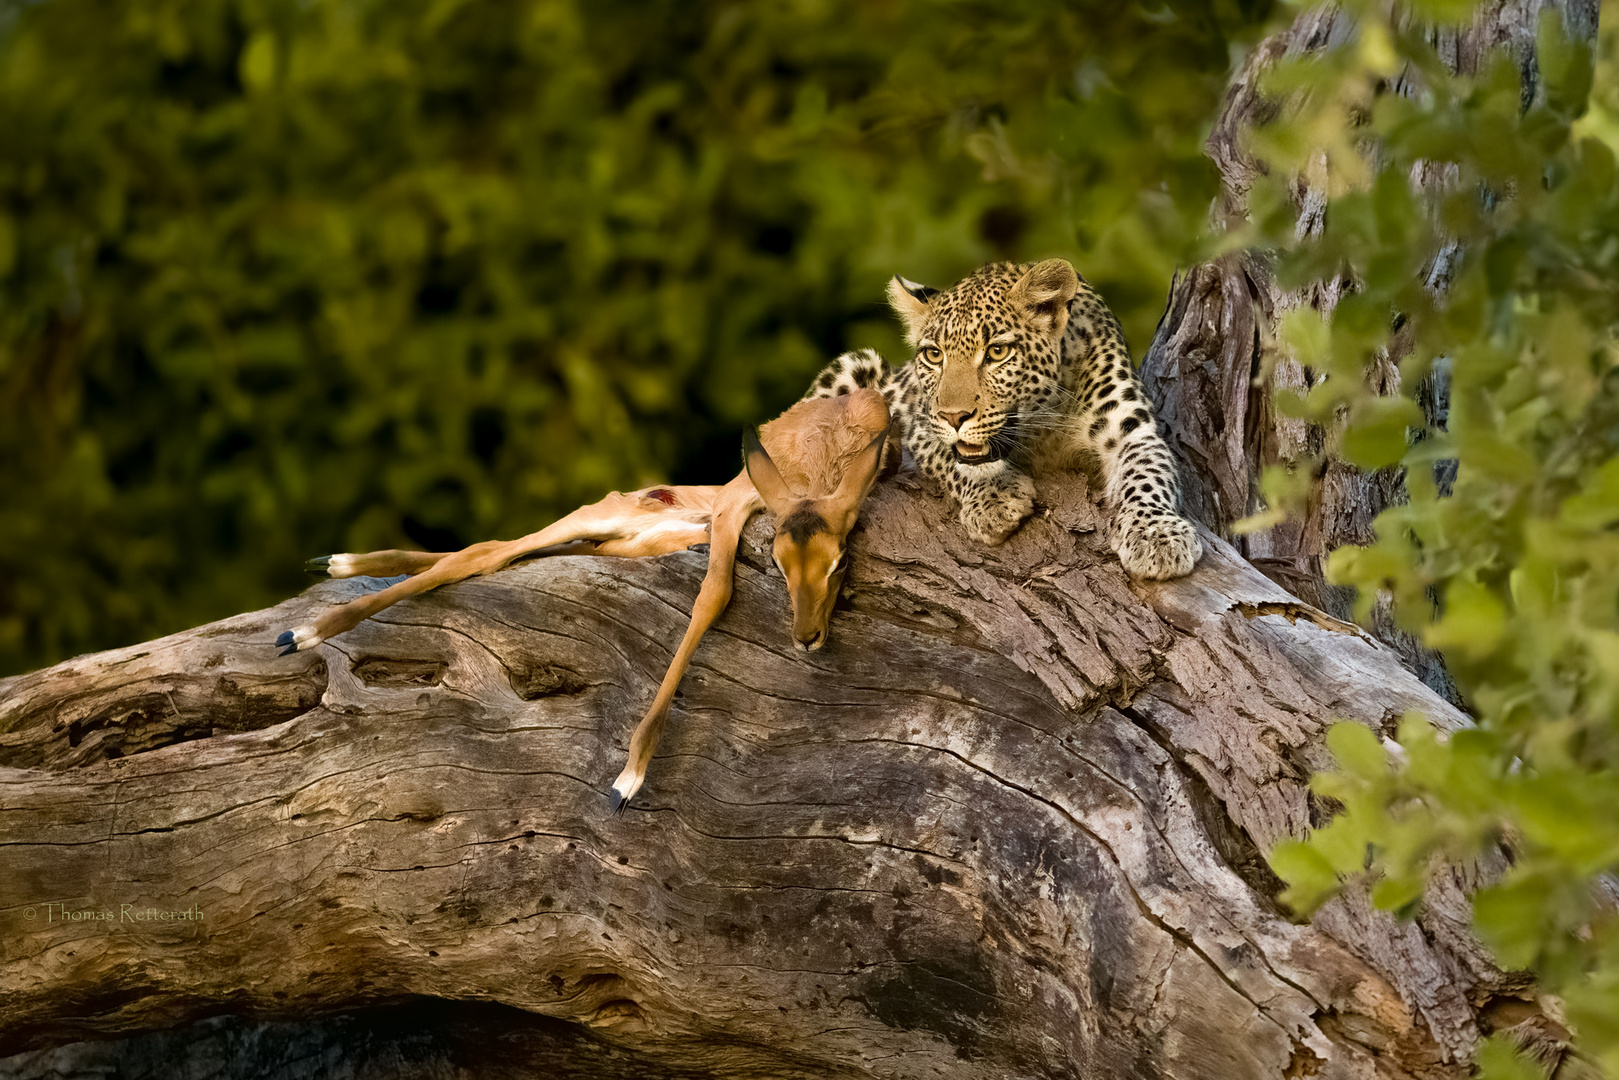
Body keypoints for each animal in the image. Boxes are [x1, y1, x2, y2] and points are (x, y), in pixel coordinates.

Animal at [809, 257, 1204, 579]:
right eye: (934, 355)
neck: (1042, 426)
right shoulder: (921, 422)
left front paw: (1155, 535)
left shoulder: (1132, 430)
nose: (954, 416)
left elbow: (1147, 473)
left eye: (997, 352)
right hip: (857, 367)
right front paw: (994, 497)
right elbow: (952, 459)